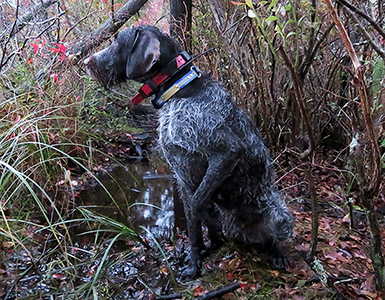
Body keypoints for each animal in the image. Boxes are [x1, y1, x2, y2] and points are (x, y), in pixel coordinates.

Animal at [85, 25, 294, 282]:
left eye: (117, 43)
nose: (85, 62)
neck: (179, 89)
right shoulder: (183, 178)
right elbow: (193, 225)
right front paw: (195, 263)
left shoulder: (227, 152)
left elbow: (197, 205)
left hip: (278, 212)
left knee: (271, 237)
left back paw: (277, 253)